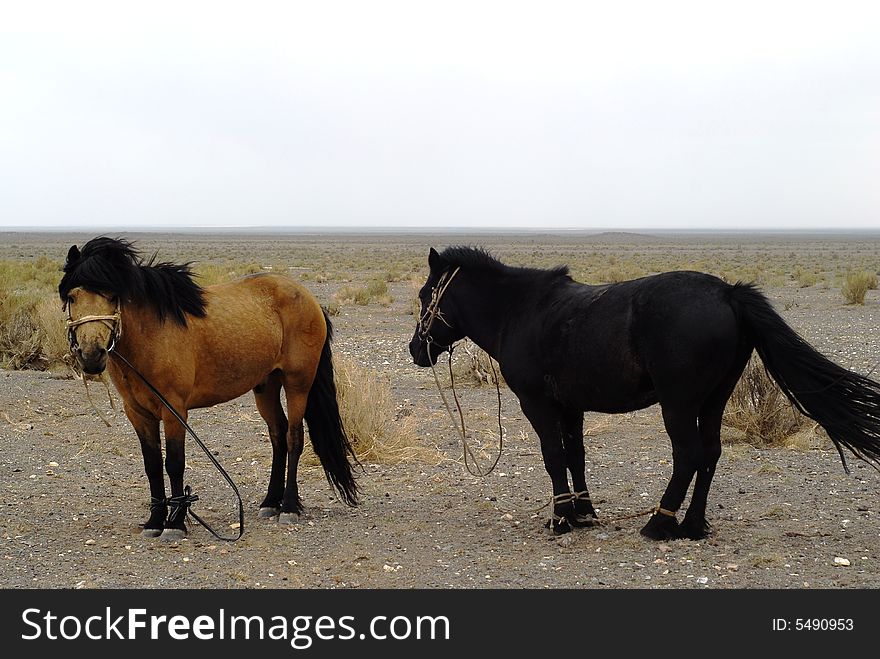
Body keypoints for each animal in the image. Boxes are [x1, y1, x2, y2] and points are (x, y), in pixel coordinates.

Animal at [58, 240, 358, 540]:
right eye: (72, 297)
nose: (91, 355)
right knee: (278, 435)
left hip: (298, 383)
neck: (150, 335)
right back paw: (270, 502)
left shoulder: (174, 411)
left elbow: (174, 463)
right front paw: (155, 521)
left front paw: (175, 524)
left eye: (112, 296)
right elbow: (152, 466)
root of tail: (309, 298)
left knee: (294, 437)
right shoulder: (138, 413)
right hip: (266, 385)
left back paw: (288, 507)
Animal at [410, 248, 880, 540]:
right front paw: (584, 512)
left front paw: (560, 518)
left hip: (679, 404)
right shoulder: (571, 407)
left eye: (425, 294)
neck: (520, 311)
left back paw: (660, 523)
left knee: (689, 455)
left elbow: (554, 458)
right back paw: (692, 525)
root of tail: (727, 292)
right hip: (715, 399)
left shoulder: (538, 405)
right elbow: (576, 456)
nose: (416, 349)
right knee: (710, 453)